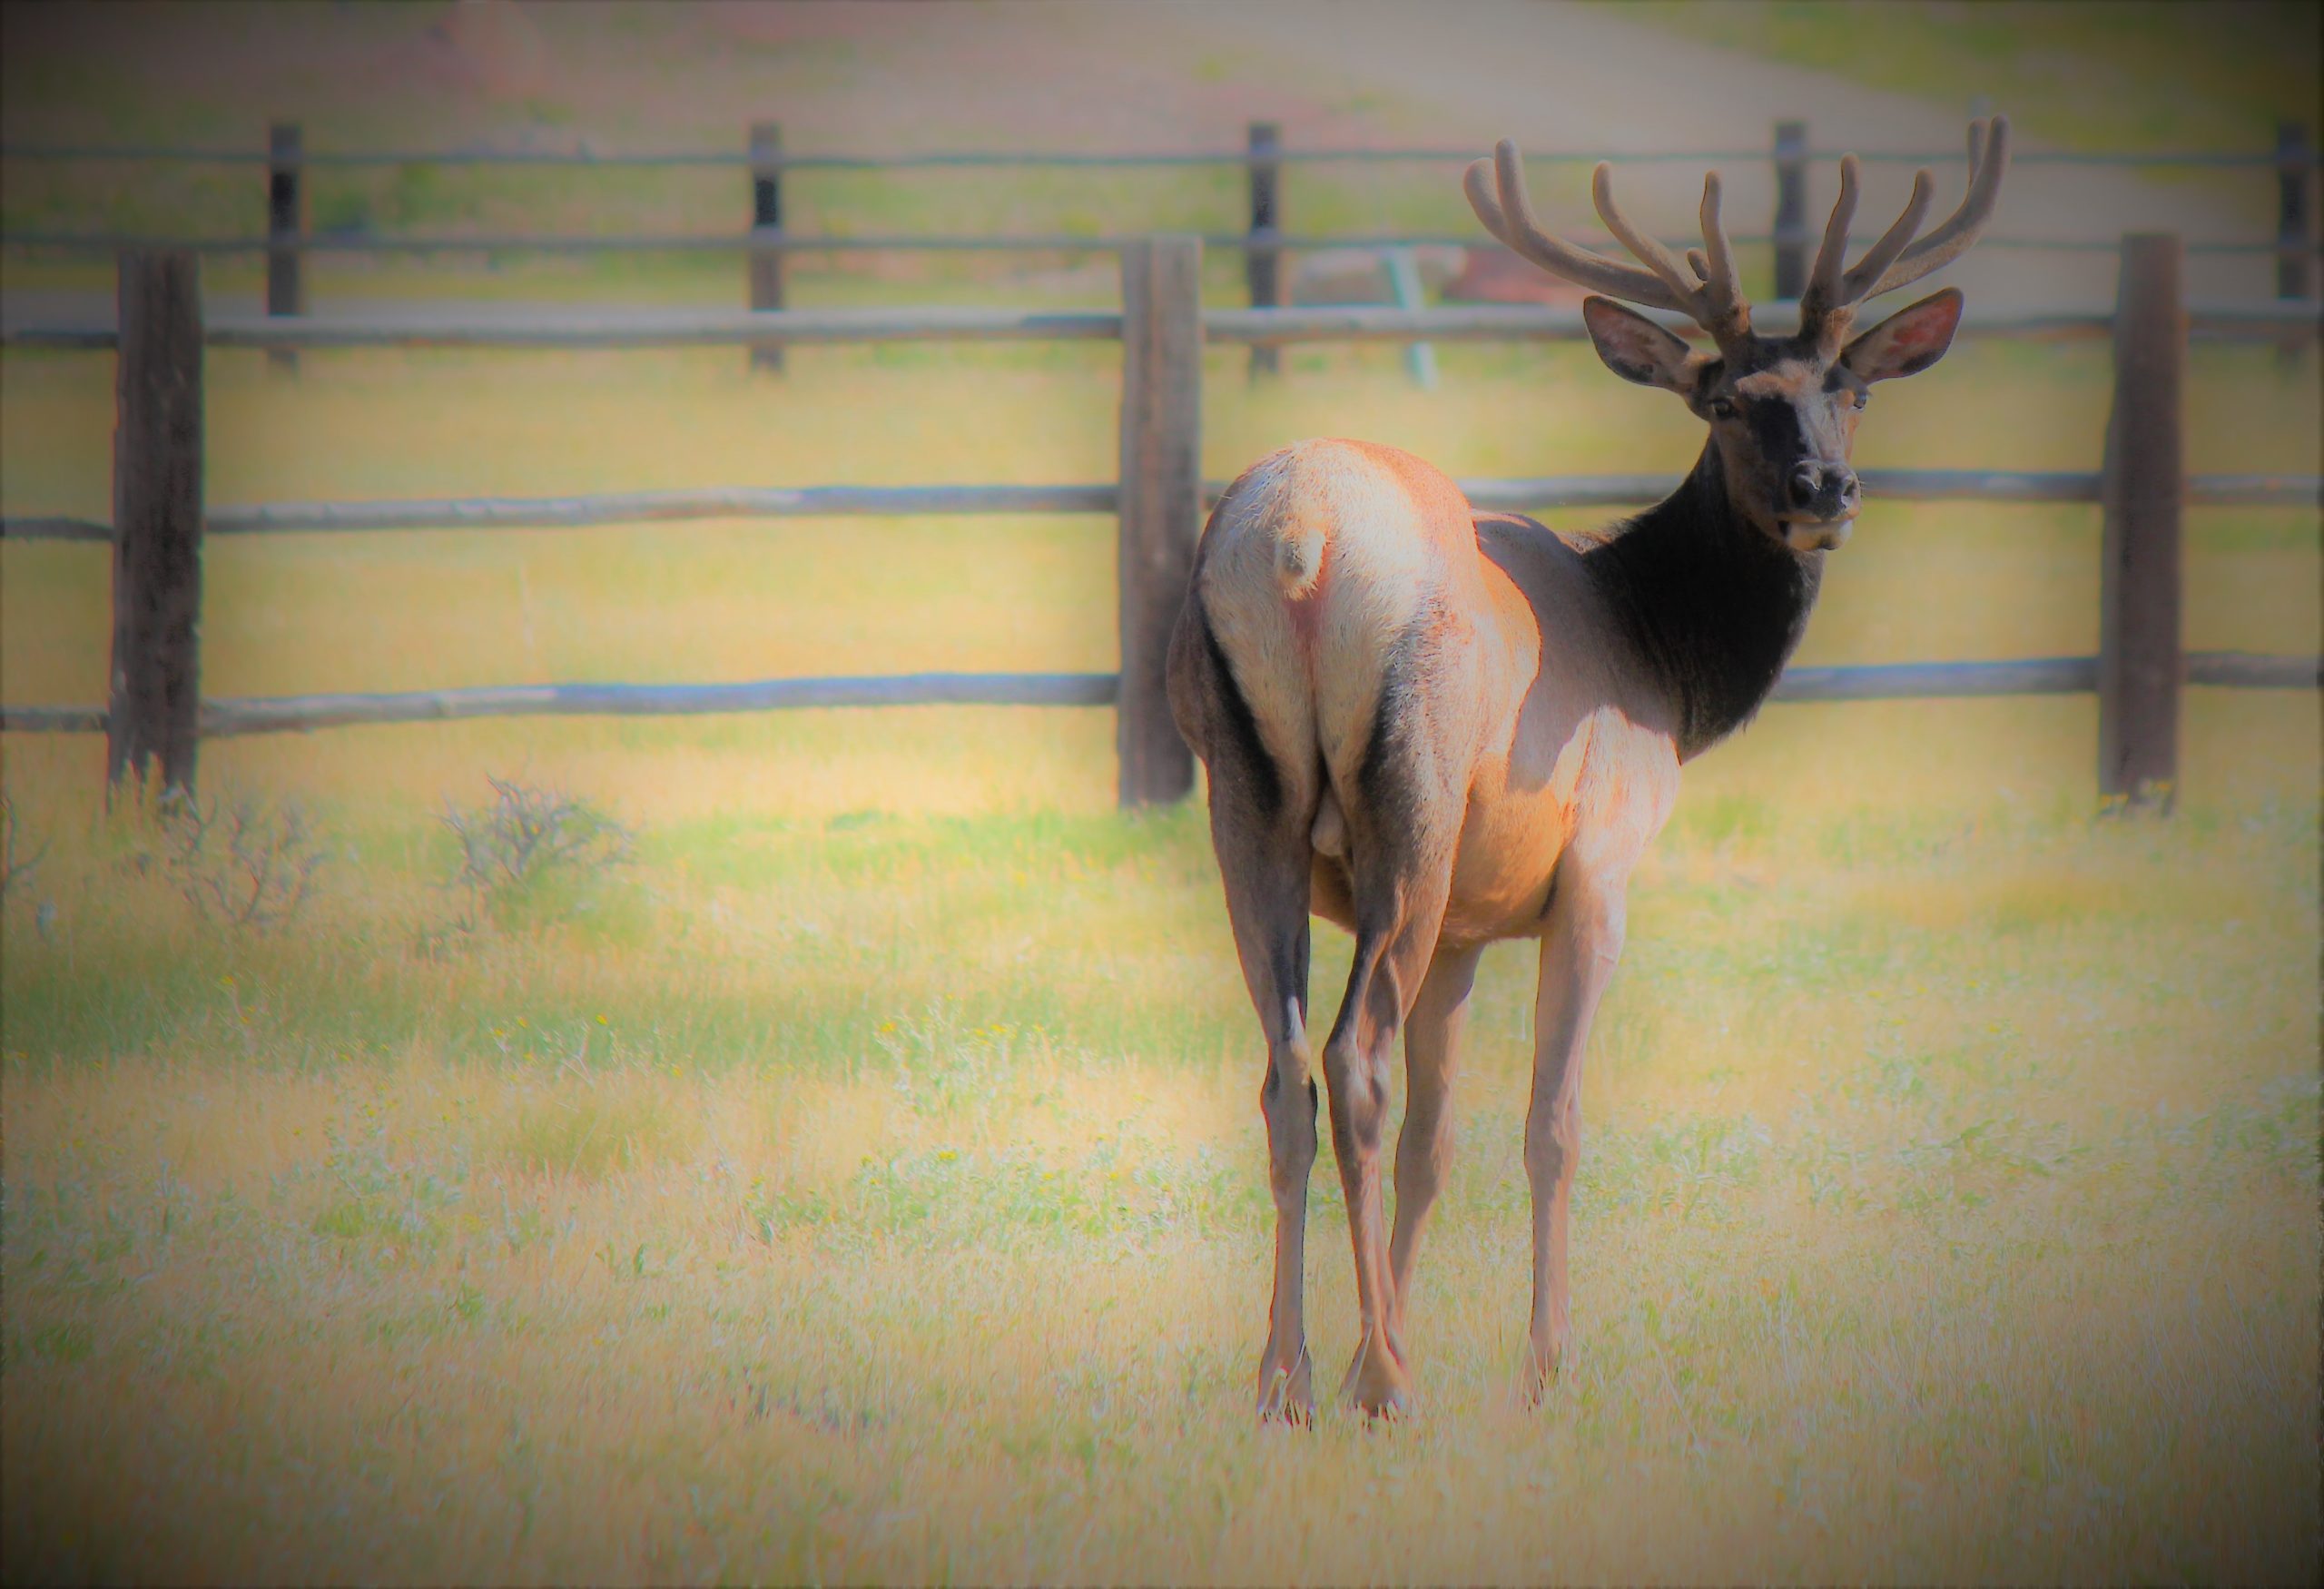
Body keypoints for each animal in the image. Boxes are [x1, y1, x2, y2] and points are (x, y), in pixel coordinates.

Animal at [1165, 119, 2009, 1421]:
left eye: (1852, 389)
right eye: (1727, 400)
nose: (1825, 488)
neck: (1657, 660)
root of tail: (1296, 541)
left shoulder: (1467, 927)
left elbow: (1437, 1142)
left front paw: (1371, 1344)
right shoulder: (1599, 867)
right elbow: (1551, 1124)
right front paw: (1539, 1366)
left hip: (1248, 805)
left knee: (1286, 1071)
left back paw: (1287, 1378)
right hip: (1412, 800)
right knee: (1353, 1059)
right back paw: (1389, 1385)